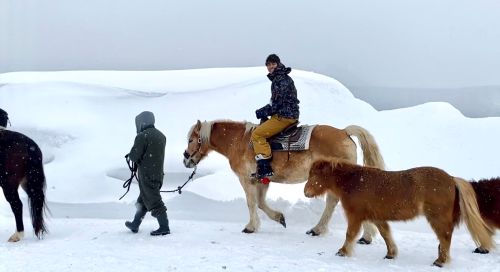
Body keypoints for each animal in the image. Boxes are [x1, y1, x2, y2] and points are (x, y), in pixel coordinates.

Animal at [186, 119, 384, 240]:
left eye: (190, 140)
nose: (186, 159)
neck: (239, 142)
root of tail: (344, 132)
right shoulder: (261, 180)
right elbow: (260, 203)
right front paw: (279, 218)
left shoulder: (246, 179)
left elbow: (251, 203)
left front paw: (250, 227)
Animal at [302, 160, 494, 266]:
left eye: (314, 176)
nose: (305, 192)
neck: (354, 182)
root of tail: (452, 179)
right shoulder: (377, 218)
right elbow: (386, 234)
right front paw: (391, 254)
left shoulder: (355, 216)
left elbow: (350, 234)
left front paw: (342, 252)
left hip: (437, 218)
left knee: (445, 237)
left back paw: (440, 261)